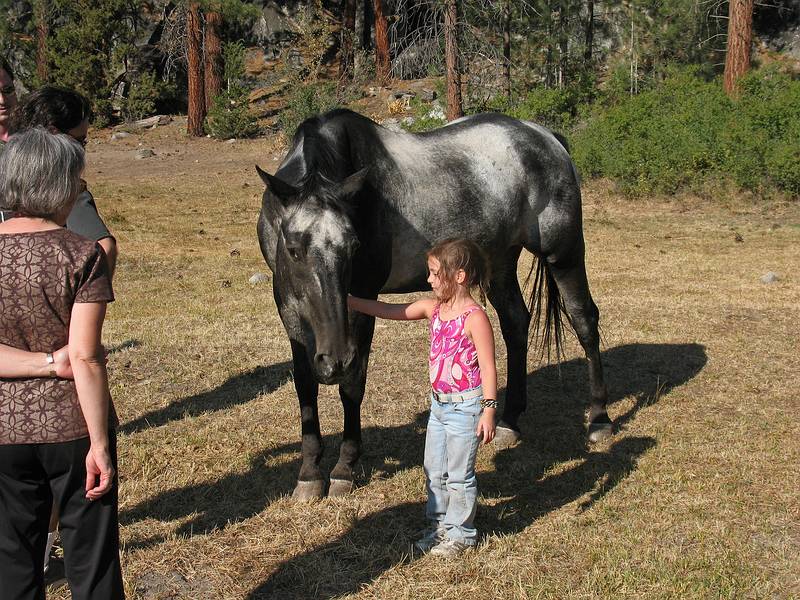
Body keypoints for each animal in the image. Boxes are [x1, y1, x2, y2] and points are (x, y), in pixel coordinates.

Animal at [256, 109, 608, 502]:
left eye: (354, 246)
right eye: (293, 249)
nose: (333, 361)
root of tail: (546, 138)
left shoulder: (362, 304)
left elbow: (353, 384)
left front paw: (344, 468)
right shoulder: (289, 309)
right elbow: (304, 386)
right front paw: (309, 472)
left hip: (564, 254)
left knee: (584, 320)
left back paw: (599, 418)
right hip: (500, 262)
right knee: (516, 323)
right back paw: (510, 420)